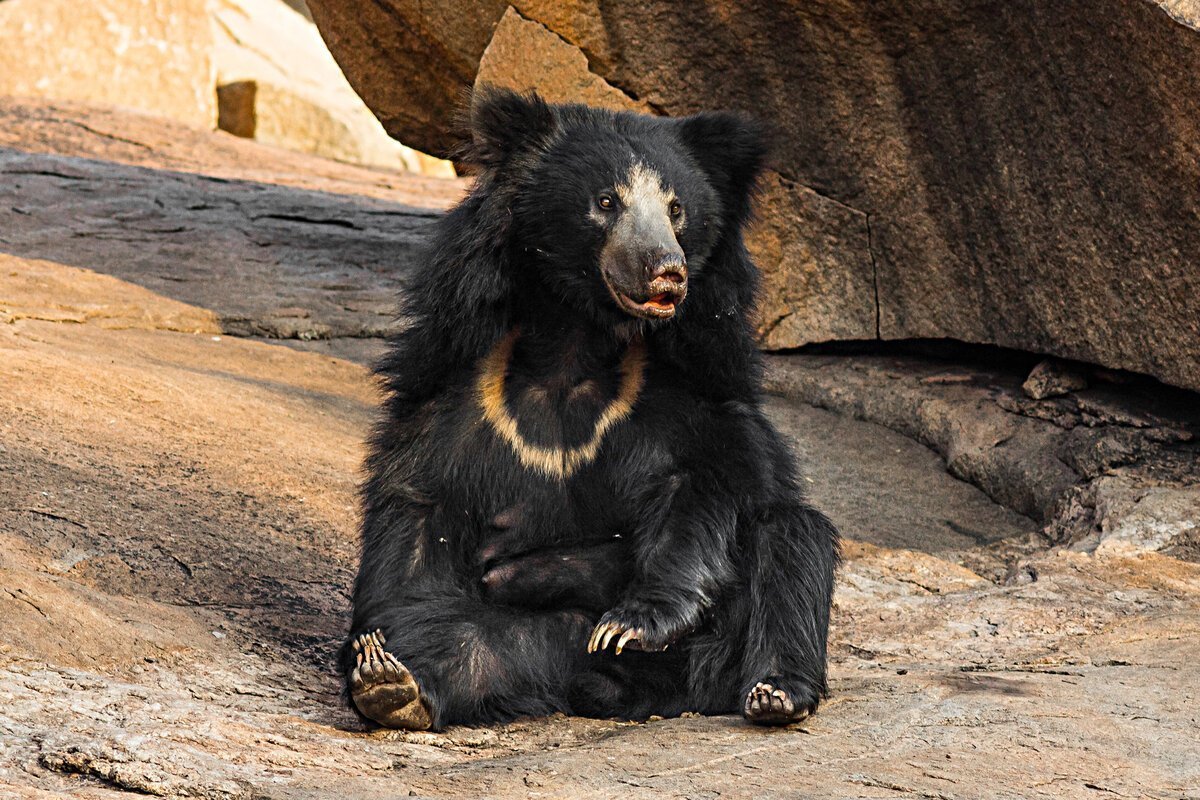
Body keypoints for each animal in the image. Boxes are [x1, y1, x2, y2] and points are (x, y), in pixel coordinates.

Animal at [343, 87, 840, 734]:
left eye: (677, 210)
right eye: (606, 201)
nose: (666, 272)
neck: (577, 338)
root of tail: (644, 695)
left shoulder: (692, 382)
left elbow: (703, 483)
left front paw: (633, 623)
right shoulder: (458, 388)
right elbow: (420, 506)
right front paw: (375, 651)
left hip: (721, 650)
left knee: (791, 539)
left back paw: (775, 692)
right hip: (541, 641)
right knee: (469, 644)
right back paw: (395, 686)